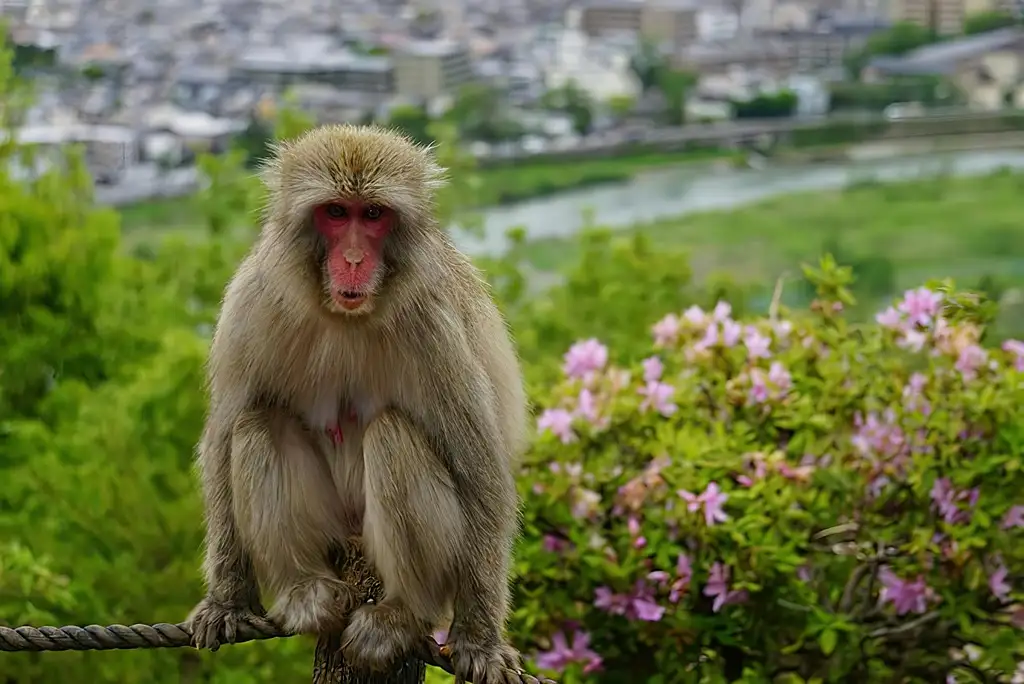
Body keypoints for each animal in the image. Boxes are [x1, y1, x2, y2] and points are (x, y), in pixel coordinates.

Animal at [185, 124, 532, 684]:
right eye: (334, 212)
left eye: (372, 215)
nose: (351, 260)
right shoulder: (250, 303)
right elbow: (220, 439)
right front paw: (228, 600)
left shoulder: (434, 325)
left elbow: (479, 471)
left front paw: (479, 639)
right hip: (331, 529)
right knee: (257, 422)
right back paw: (306, 590)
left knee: (392, 435)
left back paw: (400, 615)